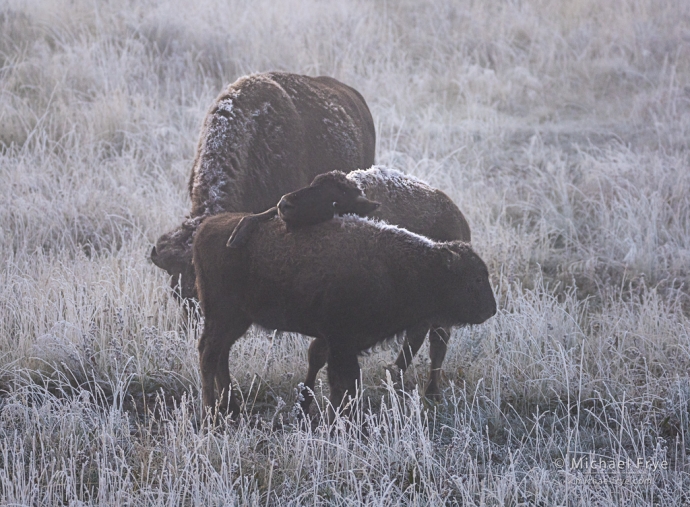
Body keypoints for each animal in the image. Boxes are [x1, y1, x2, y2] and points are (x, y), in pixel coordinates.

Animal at [226, 169, 472, 402]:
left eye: (334, 200)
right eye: (313, 184)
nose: (284, 204)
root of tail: (460, 220)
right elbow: (316, 354)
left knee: (435, 344)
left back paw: (430, 392)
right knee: (416, 339)